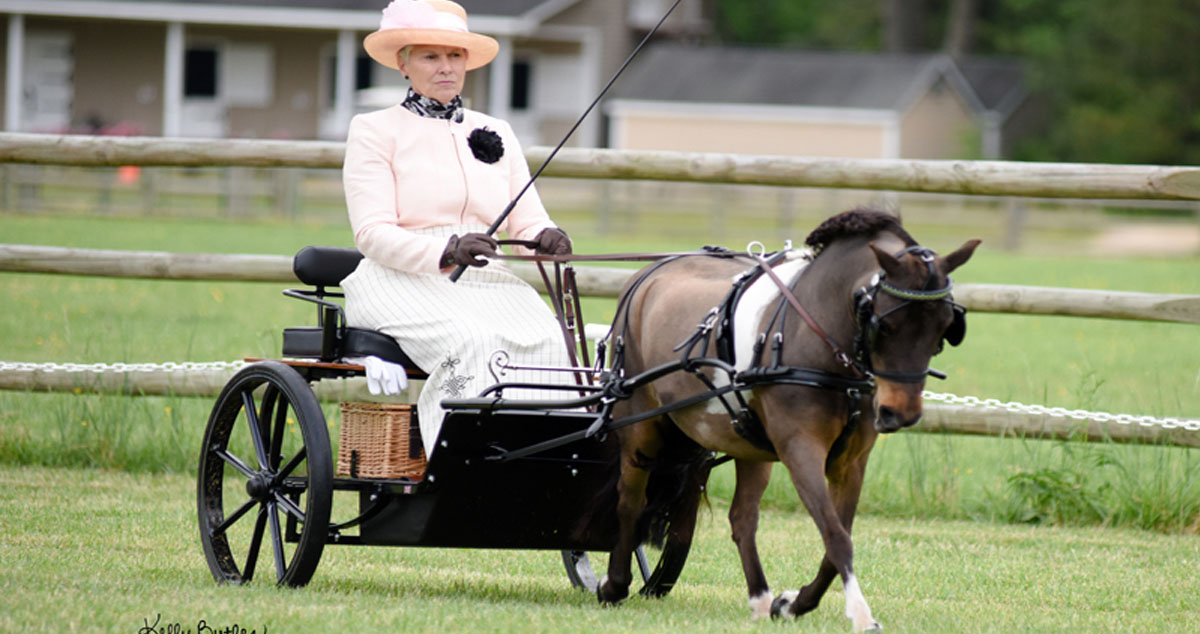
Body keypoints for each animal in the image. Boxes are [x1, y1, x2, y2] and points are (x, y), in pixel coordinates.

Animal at [595, 207, 979, 629]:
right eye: (885, 324)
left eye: (945, 327)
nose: (901, 413)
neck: (820, 337)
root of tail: (647, 274)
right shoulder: (800, 449)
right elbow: (835, 534)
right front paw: (860, 614)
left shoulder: (850, 462)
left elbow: (835, 538)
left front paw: (793, 603)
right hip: (639, 429)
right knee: (629, 501)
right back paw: (614, 585)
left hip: (743, 443)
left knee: (742, 519)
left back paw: (760, 599)